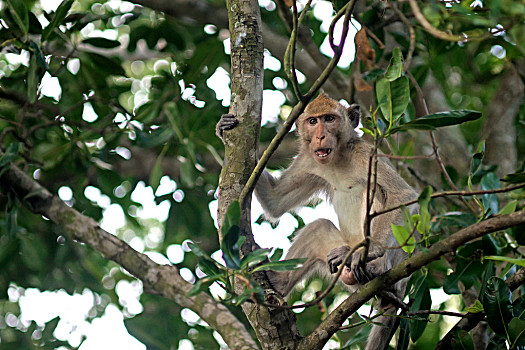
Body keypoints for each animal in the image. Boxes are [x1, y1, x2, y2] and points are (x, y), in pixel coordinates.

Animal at [217, 93, 418, 350]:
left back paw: (373, 265)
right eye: (313, 121)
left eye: (330, 119)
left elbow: (402, 196)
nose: (320, 135)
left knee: (373, 192)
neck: (338, 158)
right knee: (319, 227)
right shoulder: (308, 161)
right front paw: (223, 128)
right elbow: (275, 201)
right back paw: (278, 281)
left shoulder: (366, 154)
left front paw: (373, 251)